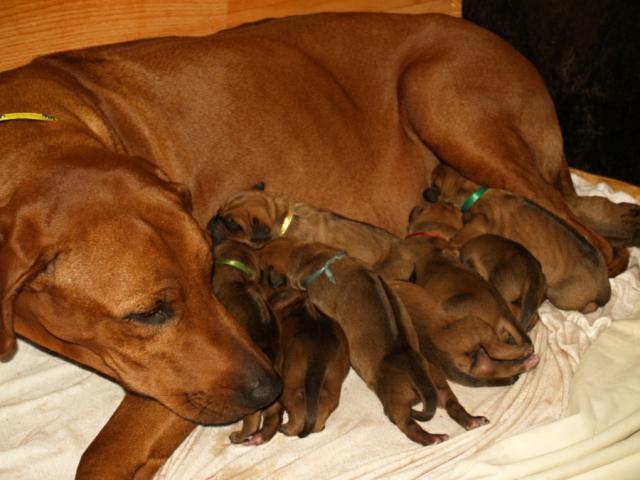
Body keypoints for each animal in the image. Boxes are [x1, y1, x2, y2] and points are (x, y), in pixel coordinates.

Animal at [430, 164, 611, 313]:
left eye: (434, 180)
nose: (426, 193)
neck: (475, 191)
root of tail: (604, 288)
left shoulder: (481, 220)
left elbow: (460, 235)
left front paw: (448, 246)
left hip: (558, 294)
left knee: (587, 307)